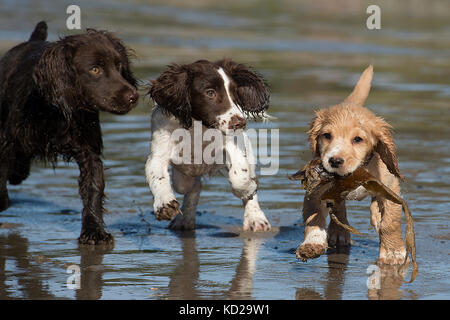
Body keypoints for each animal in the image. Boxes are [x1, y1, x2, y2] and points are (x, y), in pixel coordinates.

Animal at [146, 58, 270, 231]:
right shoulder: (159, 150)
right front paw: (164, 205)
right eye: (210, 93)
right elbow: (157, 175)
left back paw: (256, 219)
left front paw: (248, 189)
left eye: (235, 92)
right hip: (184, 178)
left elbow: (240, 177)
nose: (240, 123)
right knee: (190, 186)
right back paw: (184, 220)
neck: (197, 126)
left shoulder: (233, 144)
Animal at [298, 65, 406, 264]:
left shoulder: (390, 187)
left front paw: (393, 252)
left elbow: (390, 222)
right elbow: (313, 217)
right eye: (327, 135)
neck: (356, 173)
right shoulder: (315, 189)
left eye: (358, 139)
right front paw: (311, 245)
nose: (334, 160)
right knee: (339, 208)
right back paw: (339, 233)